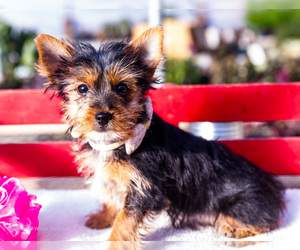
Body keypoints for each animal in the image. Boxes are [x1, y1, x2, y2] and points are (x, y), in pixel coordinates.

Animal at [35, 27, 284, 242]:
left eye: (122, 88)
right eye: (82, 89)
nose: (103, 116)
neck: (117, 141)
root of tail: (270, 185)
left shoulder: (144, 187)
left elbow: (126, 219)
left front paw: (115, 241)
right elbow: (113, 197)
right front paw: (103, 217)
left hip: (241, 202)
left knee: (265, 220)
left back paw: (235, 227)